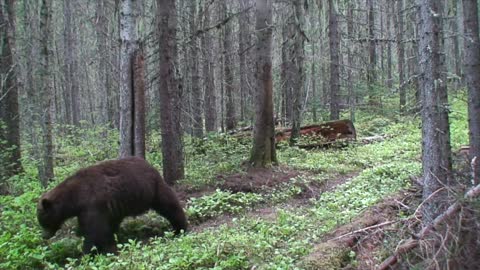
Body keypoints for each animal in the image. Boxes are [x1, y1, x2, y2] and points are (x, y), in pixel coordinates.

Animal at [37, 157, 188, 254]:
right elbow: (94, 228)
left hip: (153, 189)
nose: (44, 236)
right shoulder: (87, 210)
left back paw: (180, 228)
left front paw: (88, 251)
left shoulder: (92, 204)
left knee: (169, 205)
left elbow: (95, 231)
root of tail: (151, 166)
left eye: (43, 221)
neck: (74, 198)